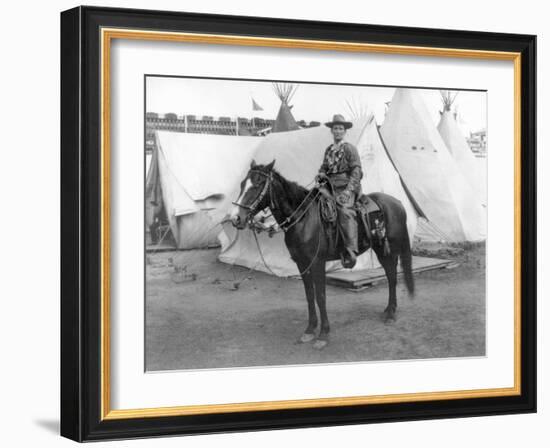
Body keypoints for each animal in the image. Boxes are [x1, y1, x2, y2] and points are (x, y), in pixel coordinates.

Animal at [229, 158, 414, 350]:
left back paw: (391, 313)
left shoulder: (317, 262)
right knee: (391, 274)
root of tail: (397, 203)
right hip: (380, 249)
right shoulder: (301, 264)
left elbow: (321, 296)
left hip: (389, 250)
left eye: (257, 184)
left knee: (392, 276)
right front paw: (310, 329)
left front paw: (323, 333)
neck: (303, 219)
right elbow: (310, 295)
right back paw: (388, 309)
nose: (235, 218)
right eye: (242, 184)